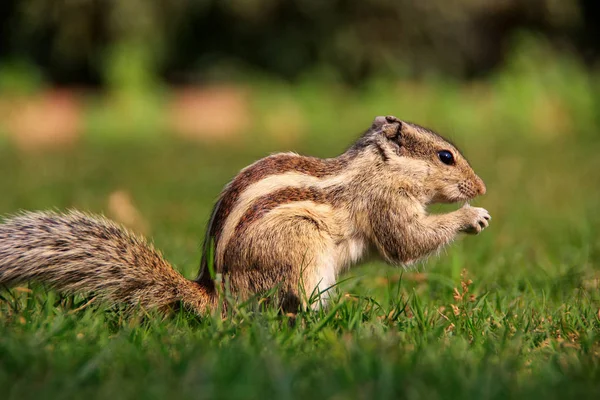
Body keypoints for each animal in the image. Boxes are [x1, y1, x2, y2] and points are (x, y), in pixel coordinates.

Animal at [0, 115, 490, 316]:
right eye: (446, 157)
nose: (482, 187)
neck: (378, 167)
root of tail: (216, 294)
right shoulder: (384, 203)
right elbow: (406, 241)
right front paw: (473, 216)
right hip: (299, 252)